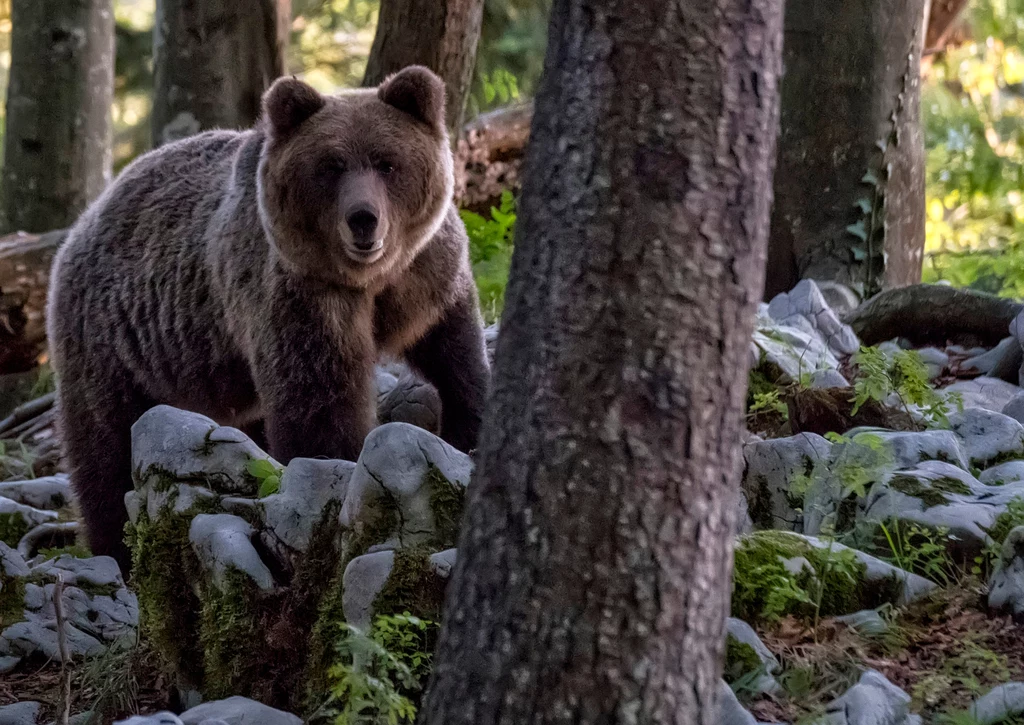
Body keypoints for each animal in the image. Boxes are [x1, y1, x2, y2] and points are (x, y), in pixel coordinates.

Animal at [48, 65, 491, 569]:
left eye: (387, 163)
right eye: (331, 166)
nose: (363, 219)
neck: (372, 280)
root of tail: (86, 219)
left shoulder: (428, 278)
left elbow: (458, 359)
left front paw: (468, 430)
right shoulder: (299, 294)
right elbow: (320, 400)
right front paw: (336, 471)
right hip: (115, 344)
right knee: (105, 449)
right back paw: (114, 547)